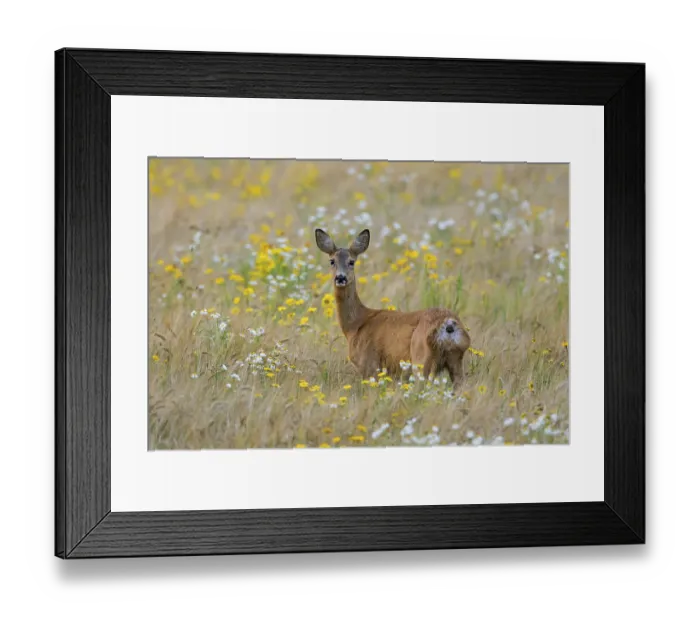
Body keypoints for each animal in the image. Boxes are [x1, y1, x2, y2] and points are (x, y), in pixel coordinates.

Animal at [315, 228, 471, 389]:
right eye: (332, 261)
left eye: (351, 261)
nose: (340, 278)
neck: (356, 325)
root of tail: (449, 324)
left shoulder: (369, 365)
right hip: (455, 359)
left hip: (421, 358)